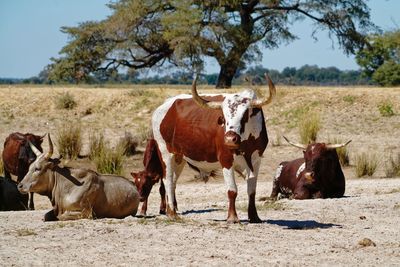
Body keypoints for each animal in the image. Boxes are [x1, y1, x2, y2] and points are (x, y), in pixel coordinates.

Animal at [151, 74, 276, 223]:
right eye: (223, 117)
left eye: (245, 115)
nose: (230, 139)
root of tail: (164, 106)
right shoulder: (226, 159)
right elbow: (232, 190)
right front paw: (232, 217)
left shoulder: (256, 160)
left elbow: (252, 190)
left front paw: (254, 216)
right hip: (165, 152)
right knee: (168, 180)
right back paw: (171, 213)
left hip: (179, 157)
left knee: (174, 181)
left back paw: (172, 210)